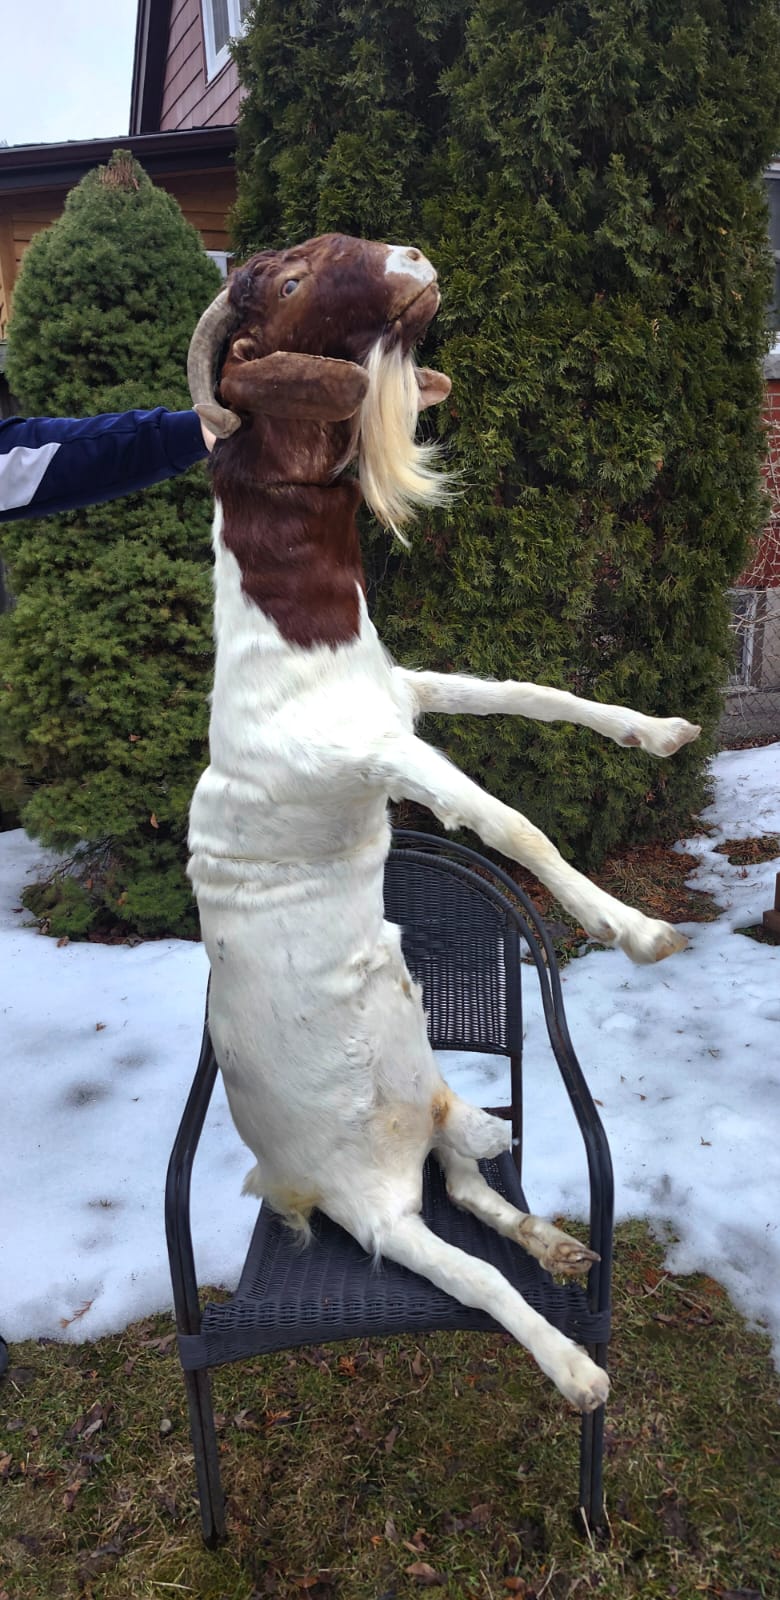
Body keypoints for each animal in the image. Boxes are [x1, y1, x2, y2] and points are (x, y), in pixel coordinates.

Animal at [186, 233, 699, 1411]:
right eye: (284, 284)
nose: (411, 258)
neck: (290, 651)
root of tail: (289, 1178)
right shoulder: (381, 752)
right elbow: (509, 826)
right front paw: (635, 930)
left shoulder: (404, 699)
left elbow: (531, 694)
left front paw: (659, 730)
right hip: (376, 1211)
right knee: (469, 1270)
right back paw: (573, 1366)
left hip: (435, 1093)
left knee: (470, 1181)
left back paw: (555, 1241)